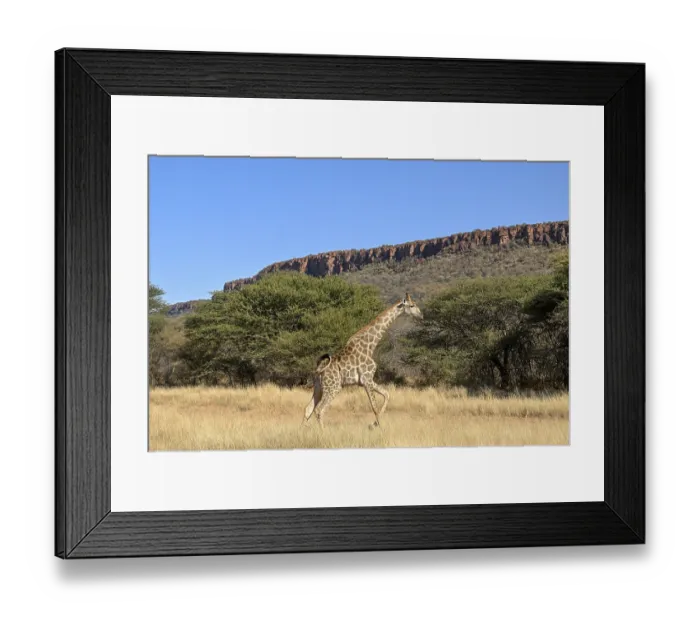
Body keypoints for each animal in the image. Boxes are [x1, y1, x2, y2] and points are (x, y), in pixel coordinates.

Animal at [302, 293, 423, 430]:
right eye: (412, 305)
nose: (421, 315)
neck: (370, 346)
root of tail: (319, 370)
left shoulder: (367, 380)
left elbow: (387, 394)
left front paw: (374, 424)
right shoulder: (367, 379)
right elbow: (375, 408)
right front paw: (380, 428)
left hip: (319, 387)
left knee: (308, 409)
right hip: (333, 387)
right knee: (319, 410)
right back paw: (323, 433)